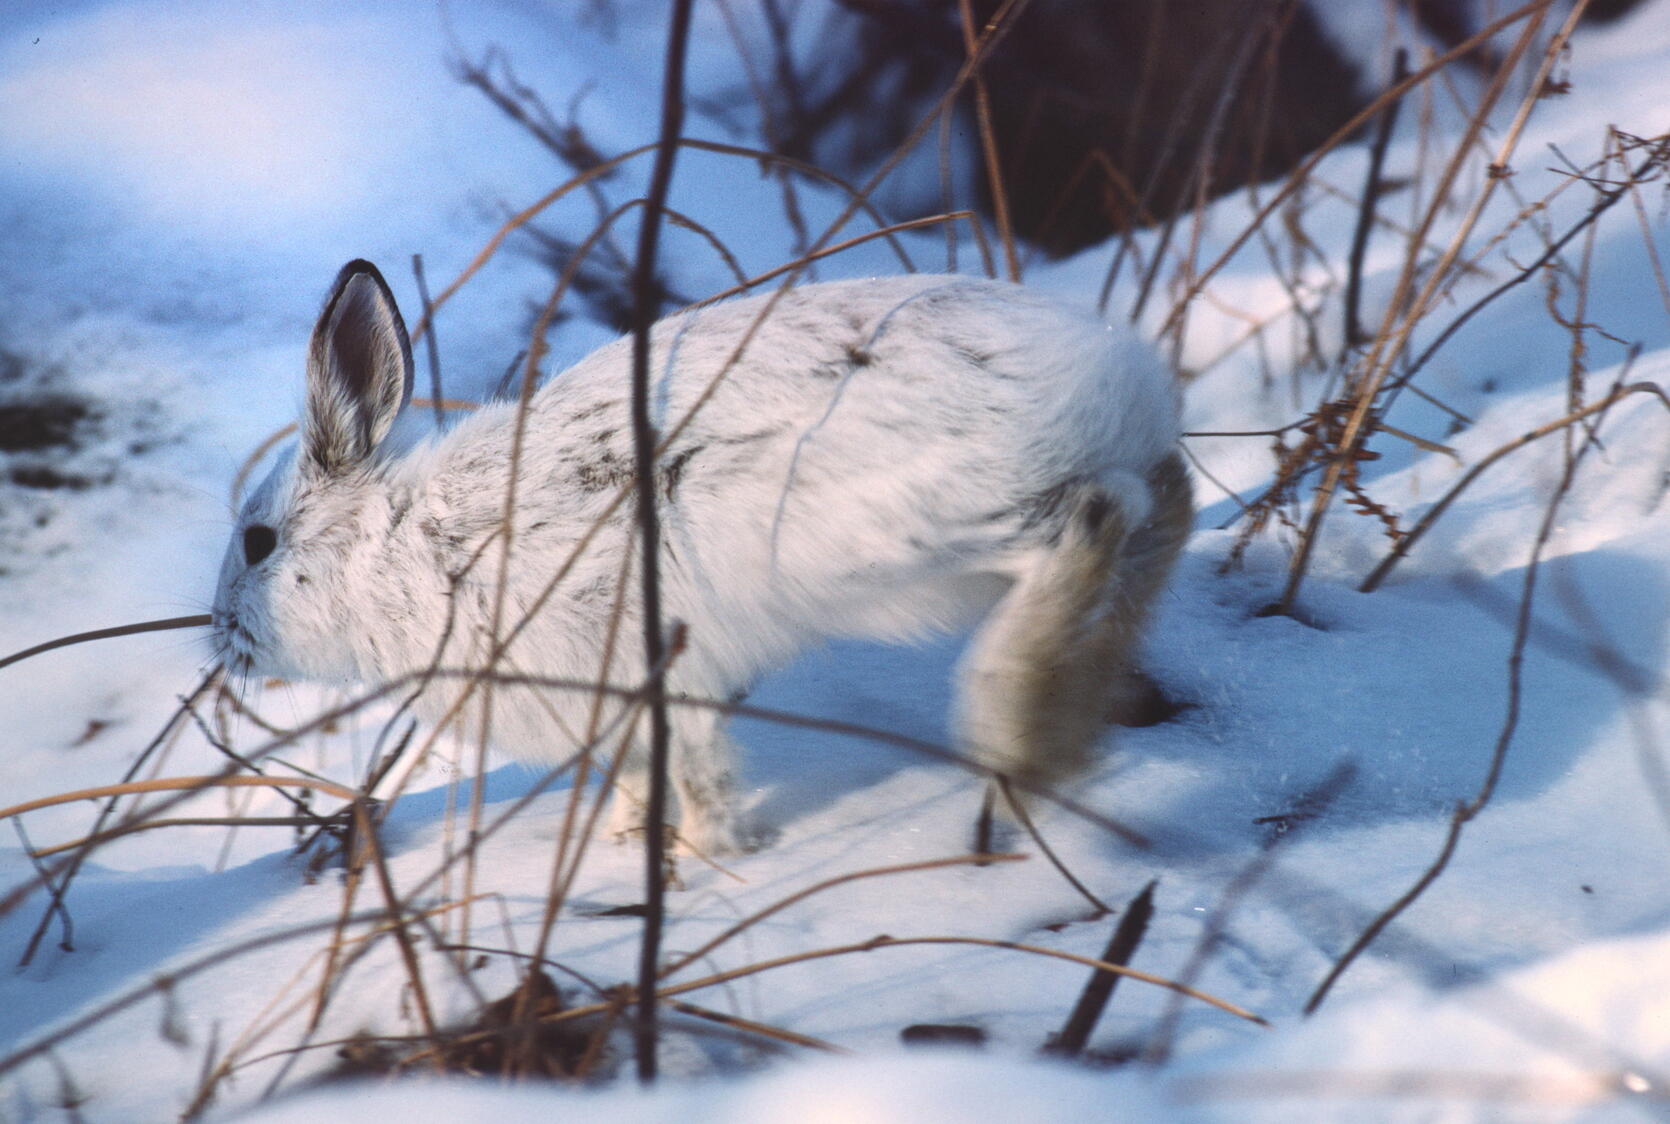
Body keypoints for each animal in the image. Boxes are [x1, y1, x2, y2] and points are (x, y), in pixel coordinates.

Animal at [211, 260, 1192, 856]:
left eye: (258, 544)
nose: (221, 638)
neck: (398, 547)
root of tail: (1115, 378)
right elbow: (640, 780)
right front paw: (621, 846)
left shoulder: (656, 675)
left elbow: (698, 771)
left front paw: (713, 856)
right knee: (1163, 504)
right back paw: (1080, 720)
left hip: (908, 536)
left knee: (1099, 517)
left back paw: (1017, 731)